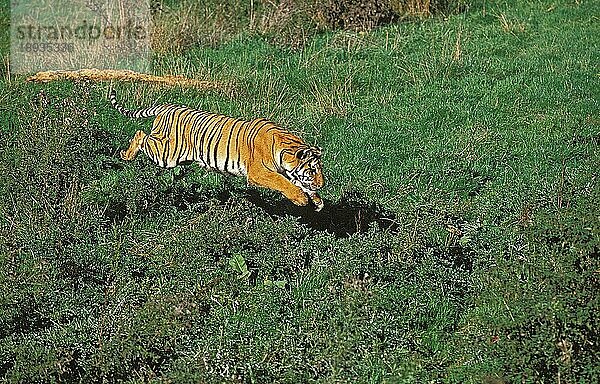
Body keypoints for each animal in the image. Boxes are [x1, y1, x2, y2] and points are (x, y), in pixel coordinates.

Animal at [108, 89, 324, 212]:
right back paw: (126, 155)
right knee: (140, 135)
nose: (321, 184)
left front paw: (317, 201)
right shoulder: (259, 173)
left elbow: (299, 183)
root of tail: (167, 106)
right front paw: (301, 199)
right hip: (166, 154)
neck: (285, 150)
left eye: (318, 169)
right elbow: (283, 183)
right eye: (313, 169)